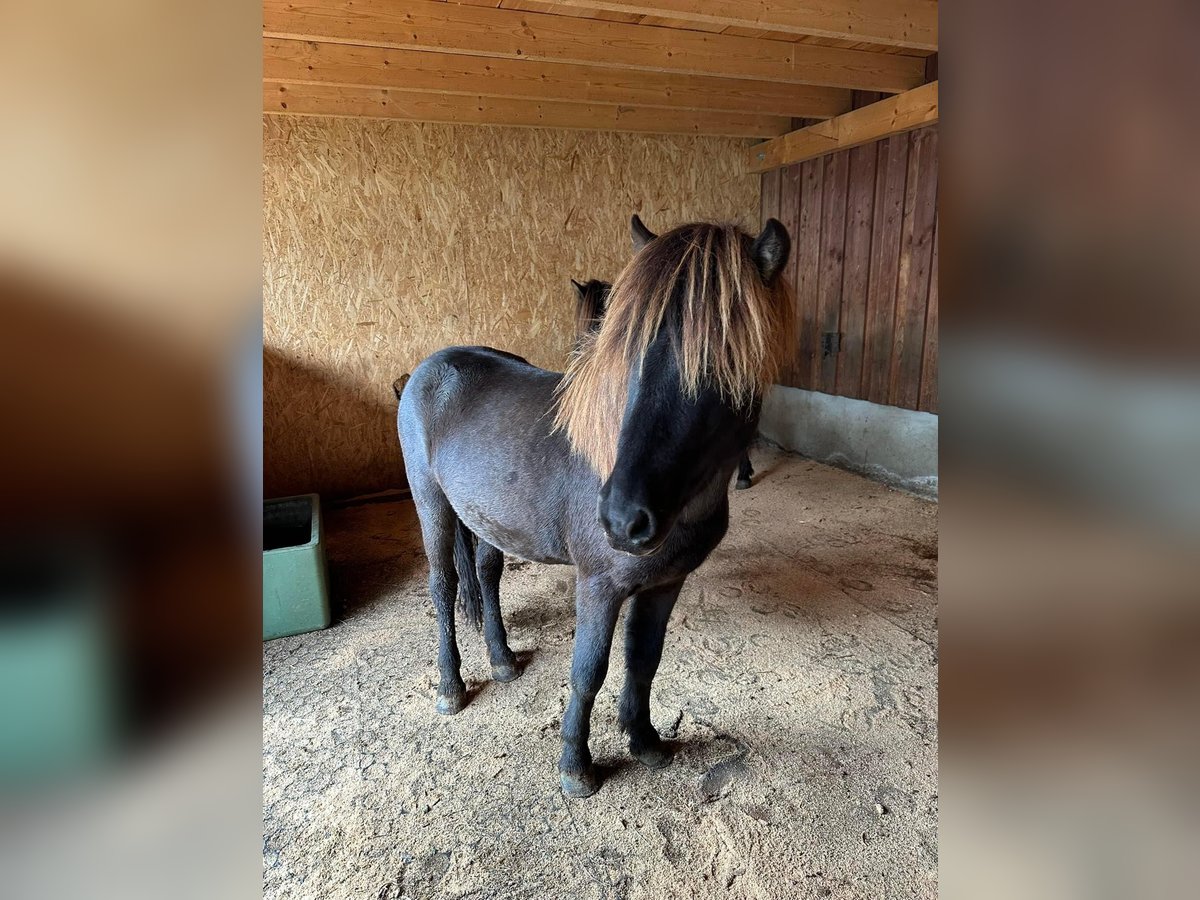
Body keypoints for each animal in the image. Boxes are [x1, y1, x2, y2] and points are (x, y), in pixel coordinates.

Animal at [400, 217, 796, 796]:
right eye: (629, 351)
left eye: (722, 363)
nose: (622, 521)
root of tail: (432, 365)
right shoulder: (599, 586)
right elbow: (588, 671)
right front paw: (576, 765)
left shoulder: (664, 584)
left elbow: (644, 660)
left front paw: (646, 741)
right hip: (431, 503)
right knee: (444, 586)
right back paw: (450, 686)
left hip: (487, 521)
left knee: (488, 574)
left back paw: (503, 661)